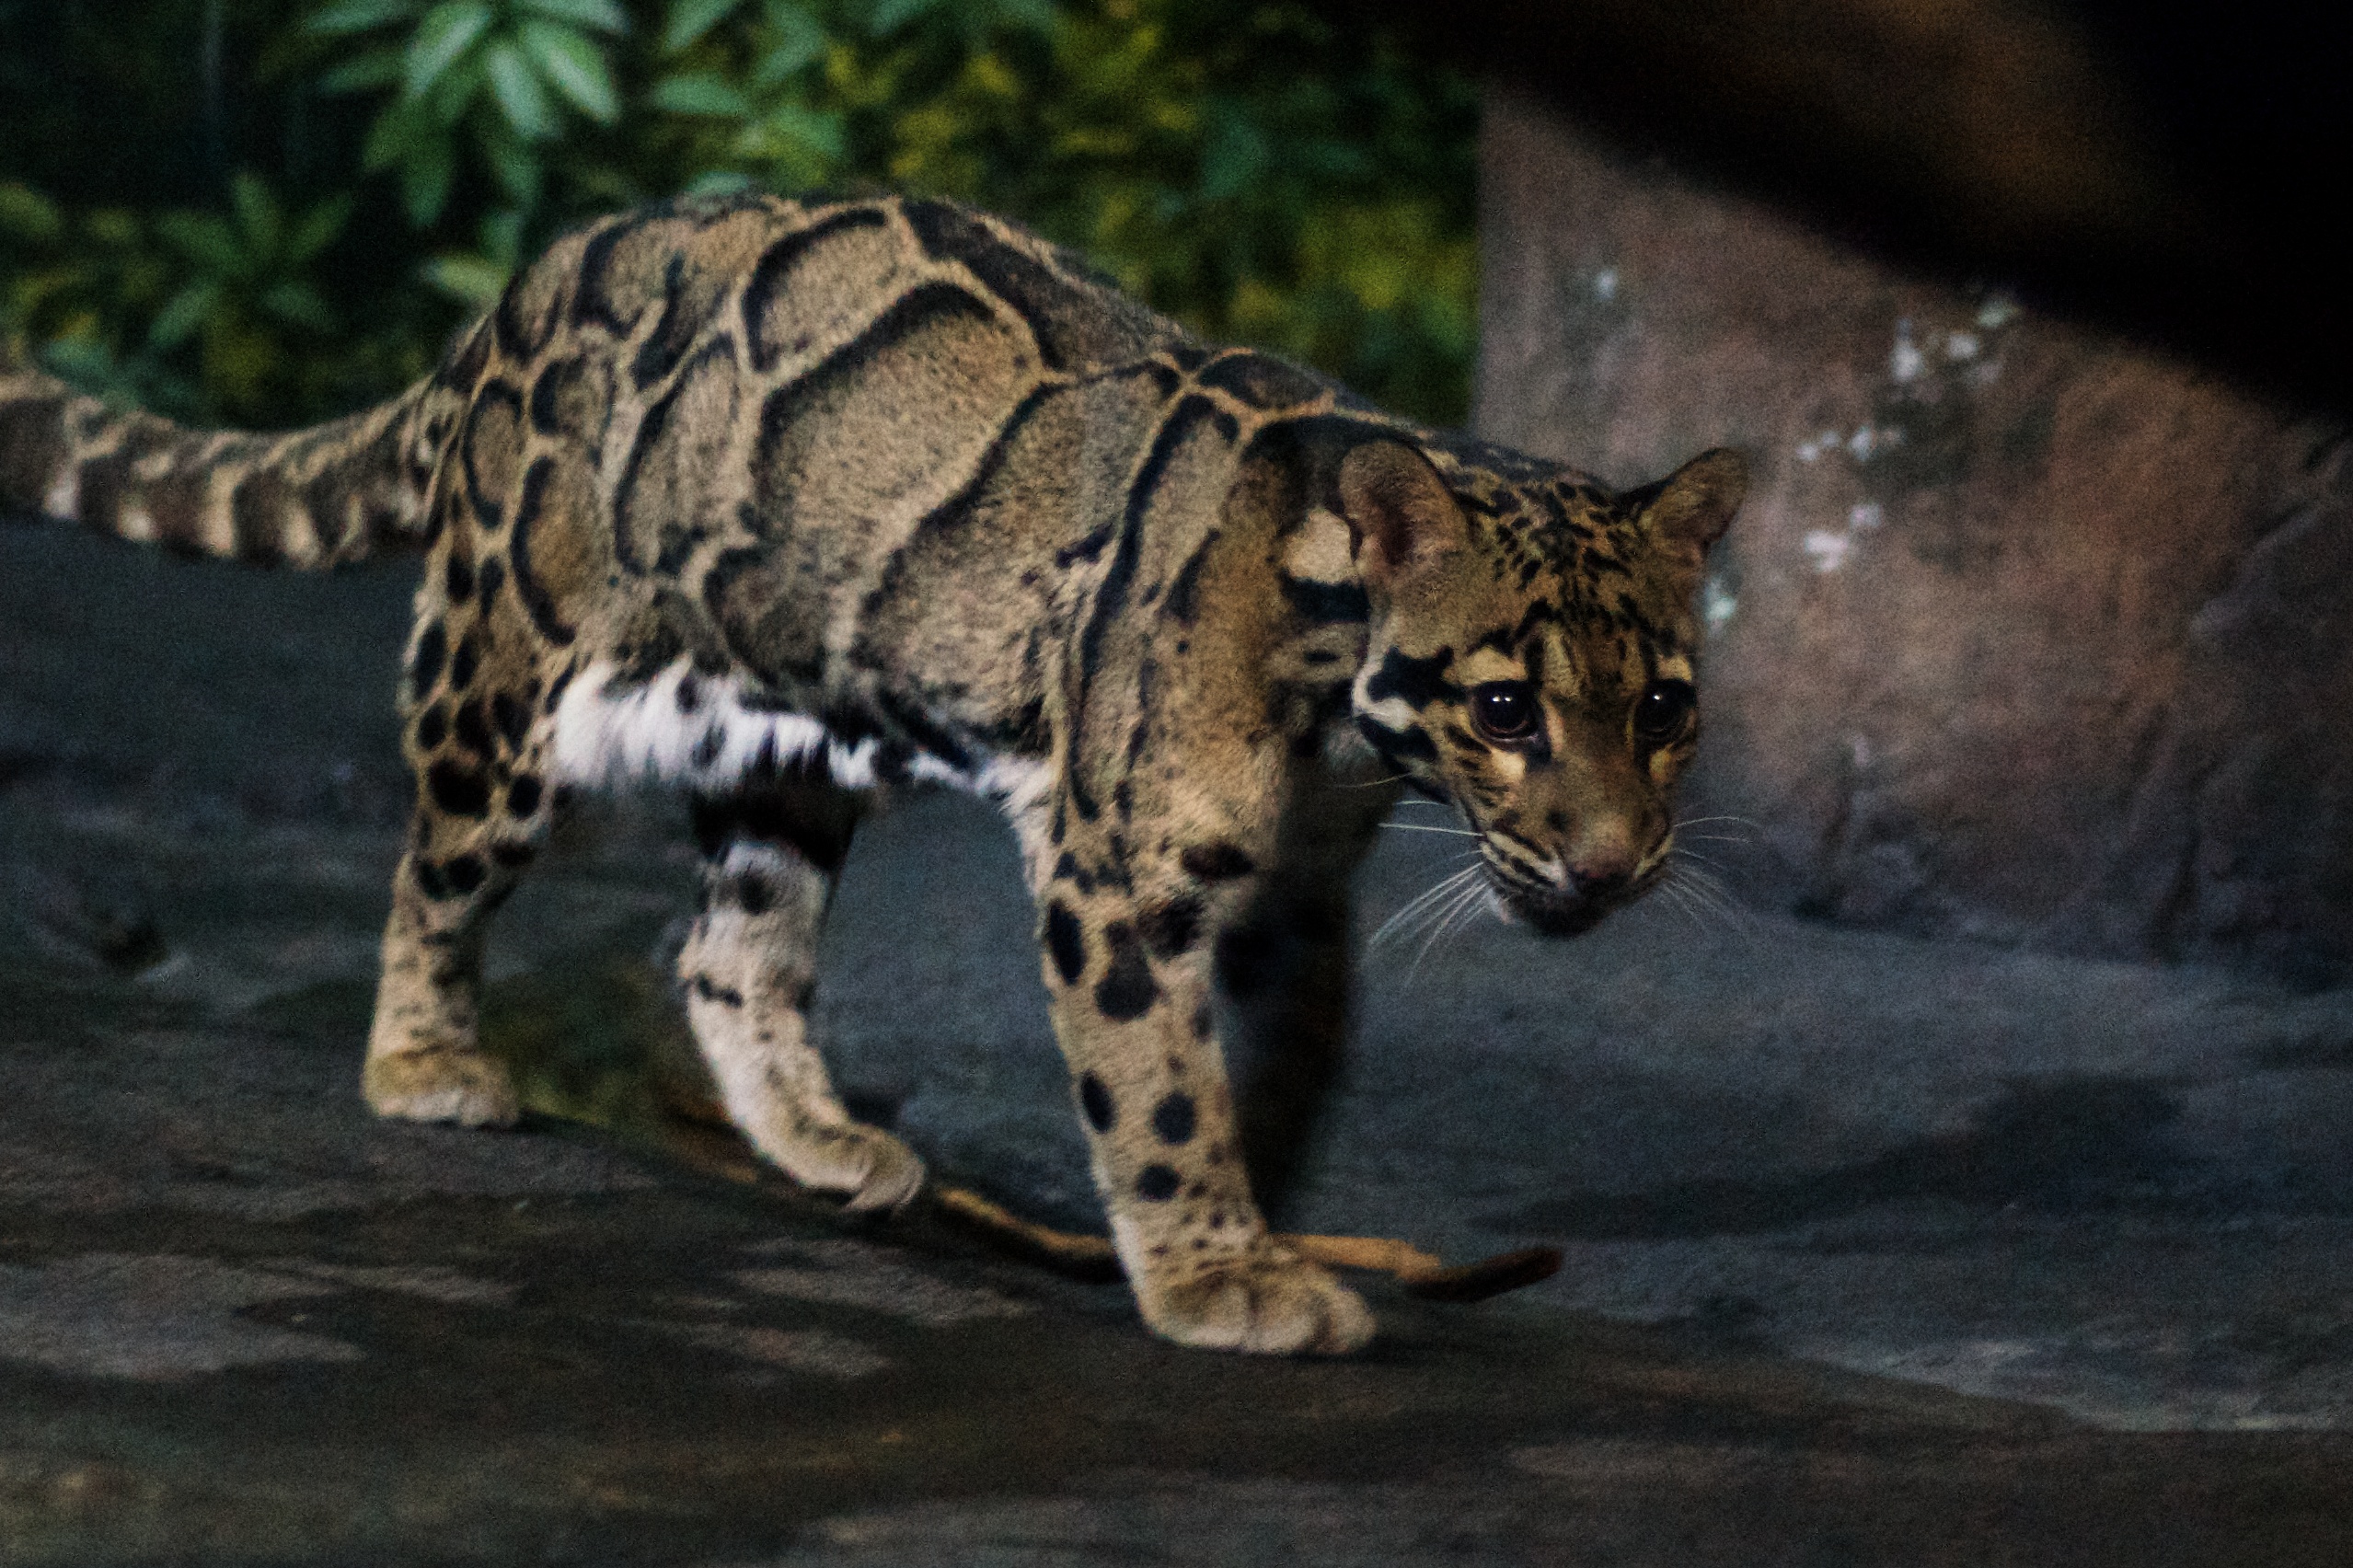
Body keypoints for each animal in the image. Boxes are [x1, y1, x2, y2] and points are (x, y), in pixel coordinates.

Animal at [0, 189, 1731, 1346]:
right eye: (1504, 709)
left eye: (1663, 707)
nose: (1610, 862)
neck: (1332, 708)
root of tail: (530, 283)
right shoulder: (1120, 874)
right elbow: (1158, 1080)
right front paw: (1210, 1266)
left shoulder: (1297, 893)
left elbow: (1278, 1063)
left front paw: (1260, 1216)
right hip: (510, 671)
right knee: (436, 869)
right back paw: (424, 1059)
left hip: (778, 740)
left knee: (725, 949)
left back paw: (818, 1137)